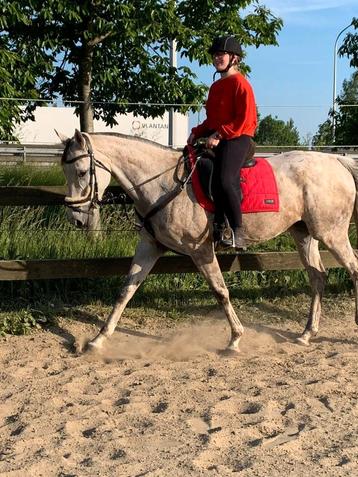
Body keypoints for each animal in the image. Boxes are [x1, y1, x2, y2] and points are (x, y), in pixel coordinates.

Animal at [57, 129, 358, 354]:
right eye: (65, 171)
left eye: (82, 172)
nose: (78, 219)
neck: (163, 184)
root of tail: (336, 162)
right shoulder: (150, 247)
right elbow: (126, 290)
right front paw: (98, 339)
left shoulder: (200, 250)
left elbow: (220, 291)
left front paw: (235, 339)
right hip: (304, 234)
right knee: (317, 277)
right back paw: (307, 333)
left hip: (331, 233)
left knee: (353, 270)